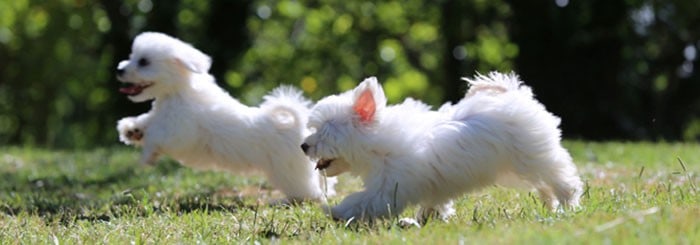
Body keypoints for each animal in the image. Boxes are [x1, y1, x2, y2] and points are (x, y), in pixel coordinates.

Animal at [115, 31, 334, 202]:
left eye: (143, 61)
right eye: (132, 56)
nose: (119, 69)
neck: (178, 92)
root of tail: (297, 124)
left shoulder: (179, 132)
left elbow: (155, 135)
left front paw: (147, 155)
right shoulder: (161, 117)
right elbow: (148, 120)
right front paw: (131, 129)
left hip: (289, 172)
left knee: (309, 194)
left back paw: (284, 201)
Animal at [304, 72, 584, 222]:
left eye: (325, 131)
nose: (303, 145)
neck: (378, 144)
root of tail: (516, 93)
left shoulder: (388, 187)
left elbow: (362, 201)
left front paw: (335, 211)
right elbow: (434, 201)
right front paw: (429, 217)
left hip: (533, 156)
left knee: (560, 178)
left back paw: (568, 205)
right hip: (517, 167)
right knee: (543, 184)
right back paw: (550, 206)